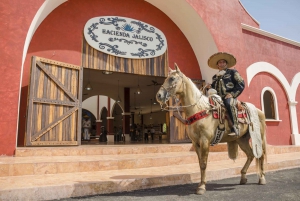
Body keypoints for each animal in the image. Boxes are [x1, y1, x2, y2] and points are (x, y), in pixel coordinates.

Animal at [156, 64, 266, 195]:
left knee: (261, 155)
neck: (200, 109)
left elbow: (204, 164)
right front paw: (200, 184)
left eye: (172, 78)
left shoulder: (205, 141)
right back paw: (243, 177)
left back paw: (262, 179)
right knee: (250, 155)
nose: (159, 96)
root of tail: (258, 111)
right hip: (242, 139)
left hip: (260, 137)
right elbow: (200, 164)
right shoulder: (196, 143)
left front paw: (201, 187)